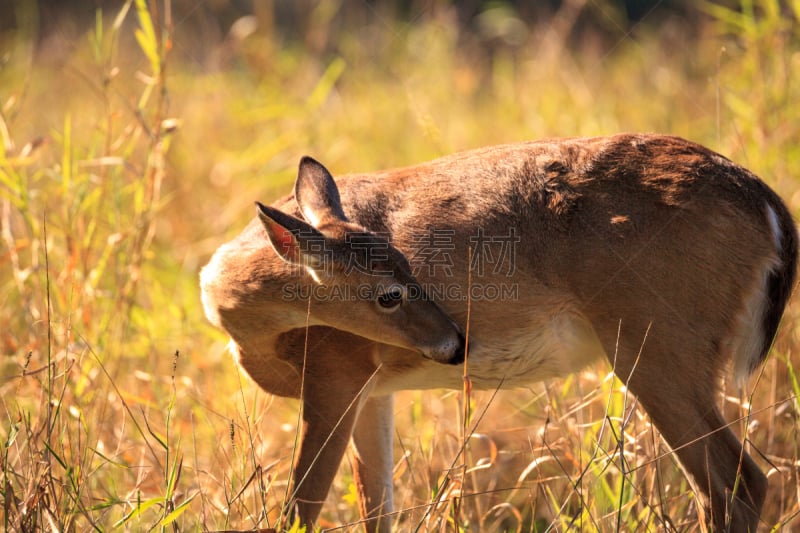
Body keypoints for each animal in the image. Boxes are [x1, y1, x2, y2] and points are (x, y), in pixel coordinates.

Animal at [200, 134, 792, 532]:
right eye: (392, 288)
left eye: (410, 268)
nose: (456, 344)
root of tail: (766, 202)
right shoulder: (375, 389)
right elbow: (377, 509)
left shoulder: (335, 371)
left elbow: (301, 506)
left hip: (656, 344)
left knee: (736, 481)